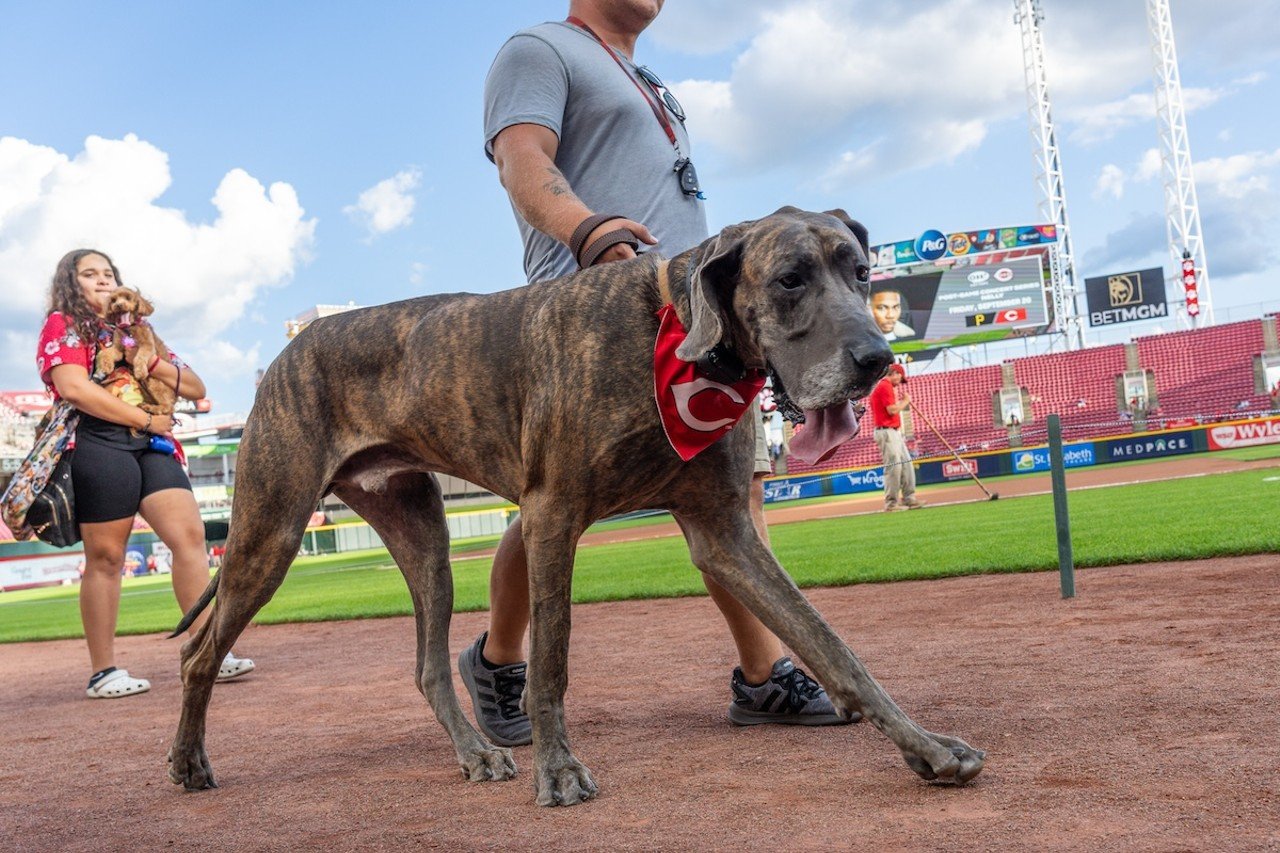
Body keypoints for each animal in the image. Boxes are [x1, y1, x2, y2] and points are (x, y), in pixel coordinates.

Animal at [93, 286, 175, 417]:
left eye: (128, 298)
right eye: (113, 300)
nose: (118, 305)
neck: (129, 329)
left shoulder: (147, 346)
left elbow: (139, 356)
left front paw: (140, 371)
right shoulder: (118, 349)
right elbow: (106, 353)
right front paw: (106, 366)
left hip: (154, 382)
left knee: (168, 408)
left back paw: (152, 408)